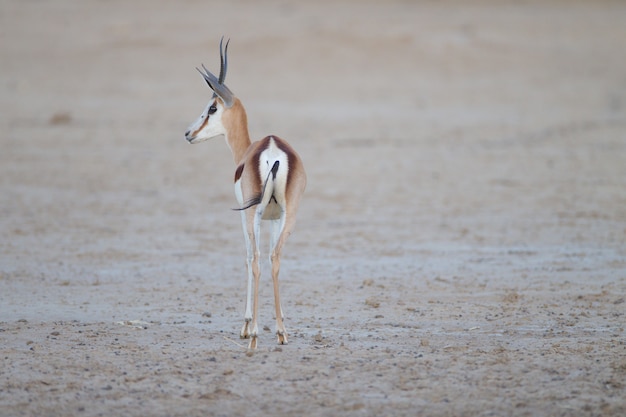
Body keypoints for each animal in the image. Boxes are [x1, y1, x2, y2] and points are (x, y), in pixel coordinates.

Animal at [183, 39, 304, 350]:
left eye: (212, 107)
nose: (189, 133)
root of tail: (272, 150)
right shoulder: (274, 219)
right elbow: (270, 256)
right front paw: (279, 326)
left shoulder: (245, 216)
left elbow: (248, 257)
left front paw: (246, 326)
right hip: (289, 215)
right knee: (275, 258)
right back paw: (281, 333)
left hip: (253, 214)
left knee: (258, 259)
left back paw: (255, 336)